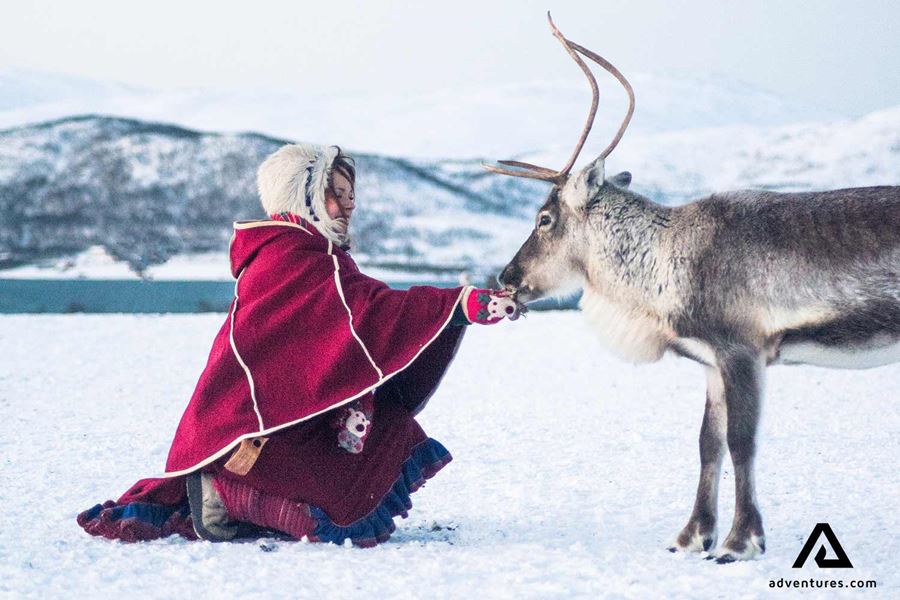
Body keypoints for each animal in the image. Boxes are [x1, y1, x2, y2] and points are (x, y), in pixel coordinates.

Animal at [484, 14, 900, 563]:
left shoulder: (743, 350)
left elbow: (743, 442)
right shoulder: (709, 361)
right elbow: (708, 443)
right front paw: (690, 536)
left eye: (544, 218)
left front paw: (740, 541)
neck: (664, 261)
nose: (506, 278)